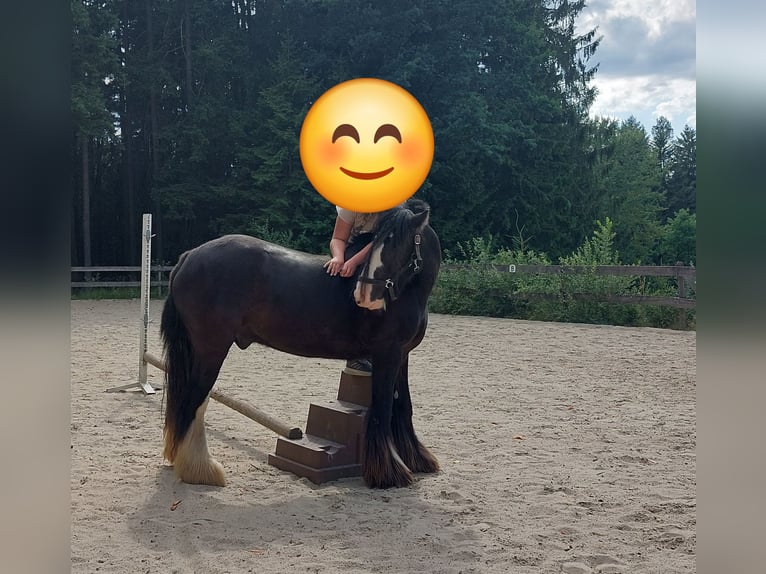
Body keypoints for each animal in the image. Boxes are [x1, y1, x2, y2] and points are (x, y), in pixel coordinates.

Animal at [160, 199, 441, 489]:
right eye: (377, 242)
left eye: (398, 244)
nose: (364, 296)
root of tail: (190, 255)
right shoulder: (387, 353)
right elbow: (383, 410)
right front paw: (390, 474)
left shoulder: (401, 355)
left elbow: (403, 405)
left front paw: (416, 460)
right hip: (211, 350)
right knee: (194, 400)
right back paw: (202, 470)